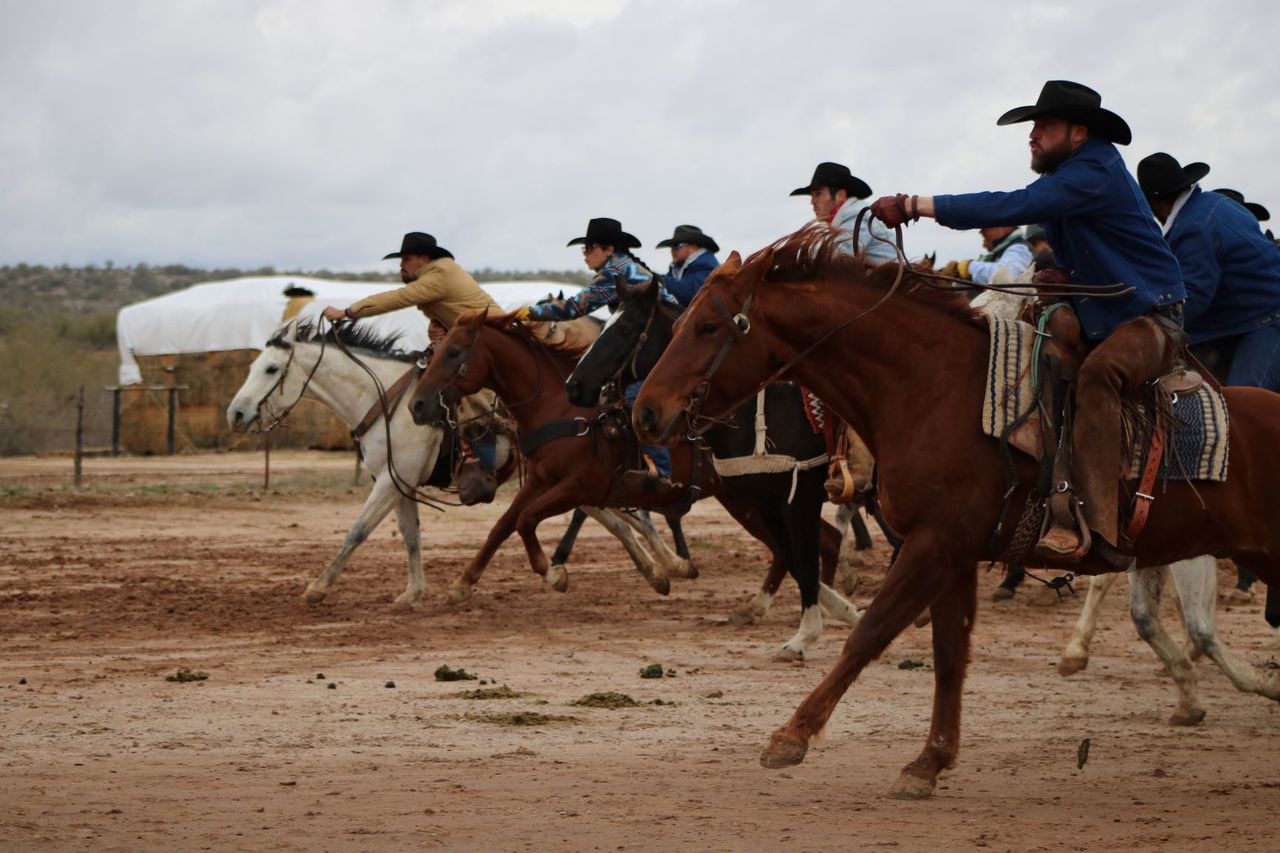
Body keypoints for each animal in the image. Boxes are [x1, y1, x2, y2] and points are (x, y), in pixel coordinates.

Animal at [225, 317, 696, 604]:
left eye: (271, 369)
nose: (236, 413)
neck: (383, 401)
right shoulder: (398, 482)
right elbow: (411, 535)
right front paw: (413, 593)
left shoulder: (388, 484)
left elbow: (357, 531)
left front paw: (317, 588)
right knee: (618, 518)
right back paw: (662, 570)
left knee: (631, 515)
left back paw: (670, 564)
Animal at [404, 308, 855, 648]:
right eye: (436, 350)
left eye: (455, 352)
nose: (418, 405)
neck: (561, 410)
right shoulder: (539, 482)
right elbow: (502, 525)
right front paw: (463, 584)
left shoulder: (577, 487)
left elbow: (526, 521)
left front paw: (553, 572)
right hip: (746, 500)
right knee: (805, 545)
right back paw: (788, 606)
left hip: (771, 496)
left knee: (808, 545)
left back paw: (823, 607)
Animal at [632, 225, 1280, 799]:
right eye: (679, 324)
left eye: (709, 326)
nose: (644, 413)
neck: (934, 389)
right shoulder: (956, 553)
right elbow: (949, 655)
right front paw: (929, 762)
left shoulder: (934, 544)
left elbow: (870, 633)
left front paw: (792, 735)